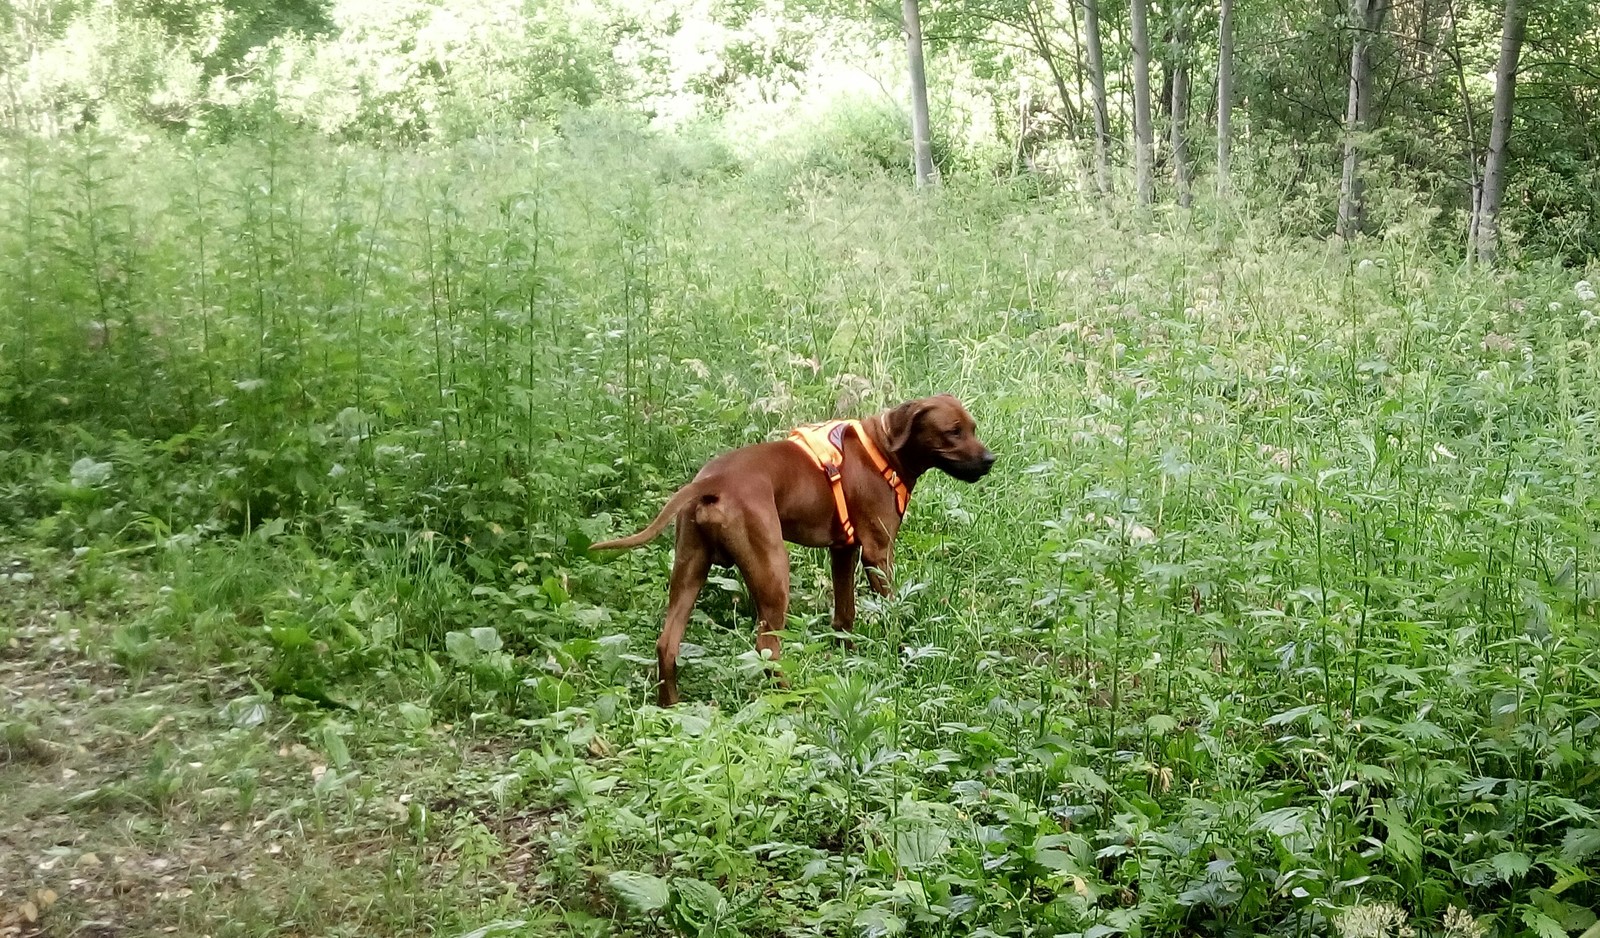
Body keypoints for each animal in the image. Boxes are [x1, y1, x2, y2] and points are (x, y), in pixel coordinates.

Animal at [595, 390, 992, 704]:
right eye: (953, 432)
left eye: (973, 427)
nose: (991, 461)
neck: (883, 450)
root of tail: (713, 481)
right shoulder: (878, 553)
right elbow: (891, 611)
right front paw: (897, 652)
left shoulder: (843, 550)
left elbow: (844, 615)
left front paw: (849, 659)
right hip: (773, 572)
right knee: (767, 648)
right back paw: (791, 696)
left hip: (689, 569)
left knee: (667, 644)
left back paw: (670, 706)